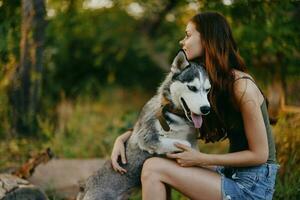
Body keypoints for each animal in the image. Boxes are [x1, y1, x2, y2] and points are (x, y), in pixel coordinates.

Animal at [77, 50, 211, 200]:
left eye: (207, 90)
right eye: (192, 88)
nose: (206, 109)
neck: (176, 114)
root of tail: (85, 186)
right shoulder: (147, 138)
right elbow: (183, 144)